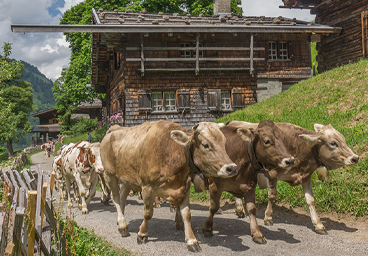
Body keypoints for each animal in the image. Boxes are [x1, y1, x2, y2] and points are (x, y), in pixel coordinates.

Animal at [100, 120, 239, 252]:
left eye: (224, 143)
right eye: (206, 145)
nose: (232, 168)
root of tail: (115, 129)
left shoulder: (184, 187)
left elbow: (187, 215)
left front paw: (191, 241)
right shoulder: (147, 186)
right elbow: (148, 213)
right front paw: (142, 234)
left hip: (127, 178)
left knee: (122, 196)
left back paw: (121, 220)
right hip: (110, 174)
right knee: (116, 198)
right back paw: (122, 226)